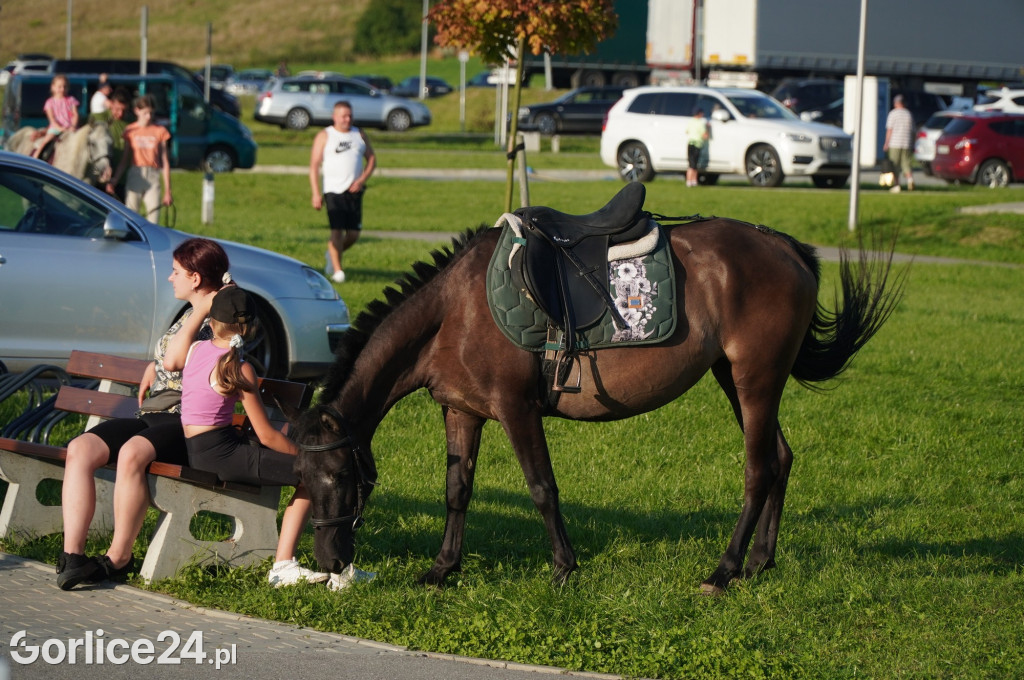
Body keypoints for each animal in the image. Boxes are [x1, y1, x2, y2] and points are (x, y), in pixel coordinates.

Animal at [290, 188, 905, 593]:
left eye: (340, 477)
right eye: (300, 479)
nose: (328, 561)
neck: (452, 311)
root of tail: (785, 248)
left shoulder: (515, 409)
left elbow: (542, 487)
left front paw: (564, 566)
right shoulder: (462, 412)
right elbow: (456, 491)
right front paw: (443, 569)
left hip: (755, 379)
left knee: (758, 469)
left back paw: (725, 570)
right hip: (736, 379)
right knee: (781, 457)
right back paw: (759, 563)